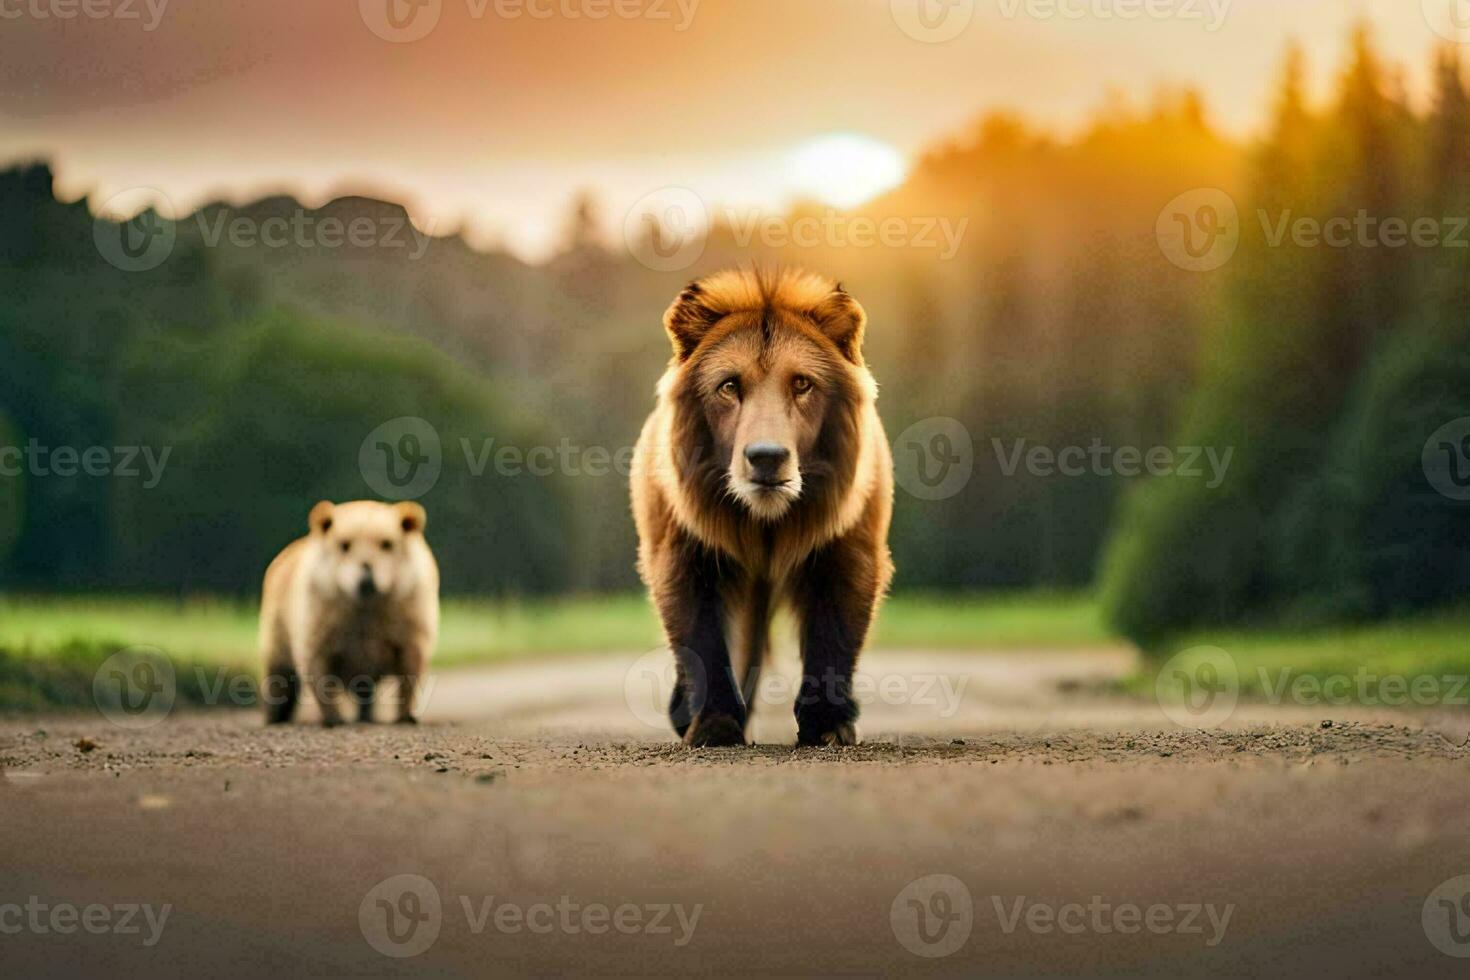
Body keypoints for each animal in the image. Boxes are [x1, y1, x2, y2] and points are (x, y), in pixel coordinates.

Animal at [632, 264, 893, 746]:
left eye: (802, 384)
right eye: (729, 386)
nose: (767, 457)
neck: (765, 523)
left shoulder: (849, 551)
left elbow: (832, 641)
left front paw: (827, 726)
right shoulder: (681, 554)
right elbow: (703, 645)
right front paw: (714, 725)